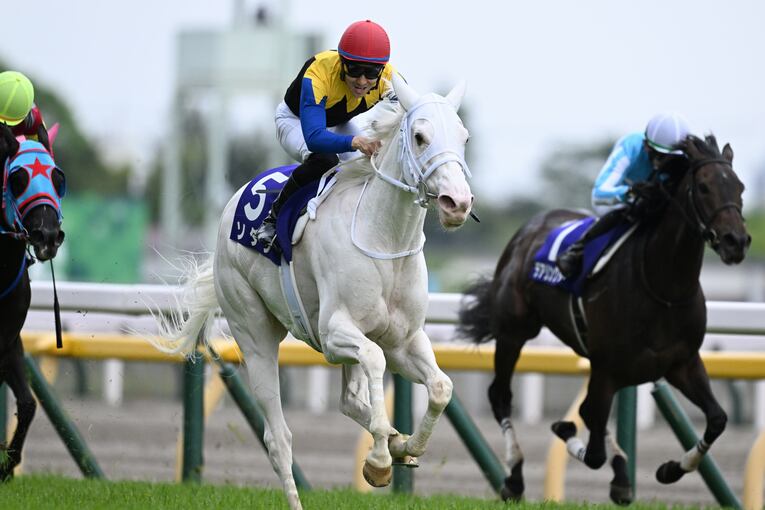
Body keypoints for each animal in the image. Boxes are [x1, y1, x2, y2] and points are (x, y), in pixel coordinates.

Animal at [151, 74, 474, 510]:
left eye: (463, 136)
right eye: (420, 136)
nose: (458, 203)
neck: (384, 238)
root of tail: (233, 201)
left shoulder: (403, 340)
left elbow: (441, 387)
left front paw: (405, 446)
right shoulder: (334, 332)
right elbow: (375, 360)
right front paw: (378, 461)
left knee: (348, 400)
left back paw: (393, 438)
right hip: (252, 328)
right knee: (278, 438)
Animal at [457, 134, 750, 505]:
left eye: (740, 186)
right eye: (704, 186)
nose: (736, 242)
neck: (663, 287)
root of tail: (530, 228)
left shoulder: (681, 362)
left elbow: (717, 418)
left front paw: (669, 469)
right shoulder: (607, 367)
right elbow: (593, 447)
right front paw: (565, 430)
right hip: (514, 332)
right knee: (501, 396)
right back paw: (515, 478)